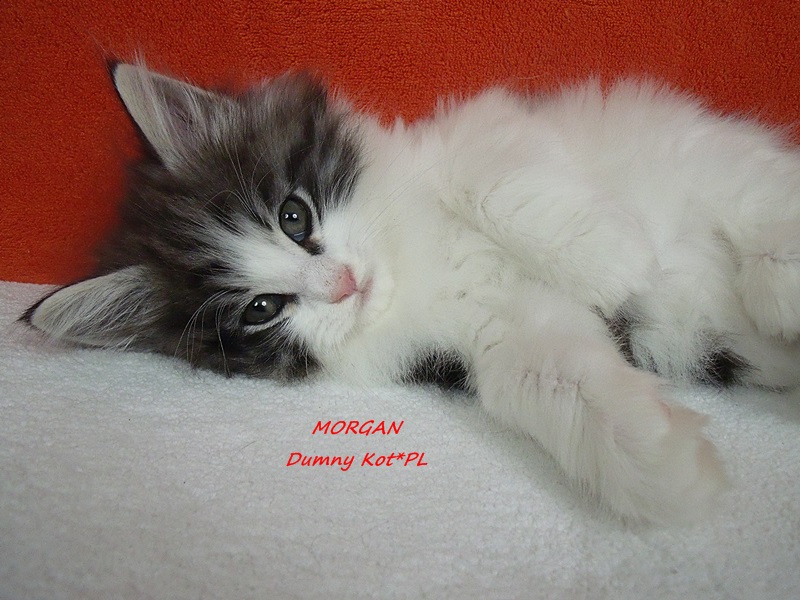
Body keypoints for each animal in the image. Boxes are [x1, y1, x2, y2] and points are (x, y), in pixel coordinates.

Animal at [23, 62, 800, 524]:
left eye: (294, 216)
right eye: (261, 309)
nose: (342, 284)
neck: (409, 269)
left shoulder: (480, 133)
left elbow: (485, 181)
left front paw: (612, 260)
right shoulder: (503, 338)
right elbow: (555, 382)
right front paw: (666, 467)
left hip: (708, 164)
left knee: (756, 209)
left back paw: (776, 278)